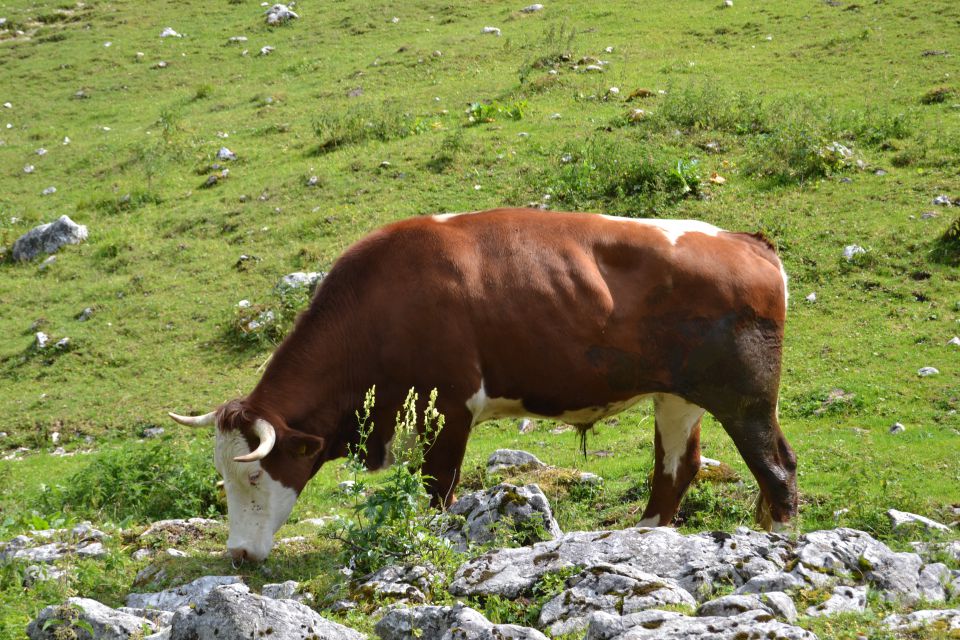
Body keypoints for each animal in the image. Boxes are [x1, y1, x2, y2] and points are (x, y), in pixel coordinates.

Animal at [169, 209, 800, 560]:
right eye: (222, 476)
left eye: (254, 473)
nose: (238, 555)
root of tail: (746, 240)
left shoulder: (449, 408)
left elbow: (437, 491)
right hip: (678, 397)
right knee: (675, 470)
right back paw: (641, 540)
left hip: (745, 399)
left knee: (777, 468)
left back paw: (785, 546)